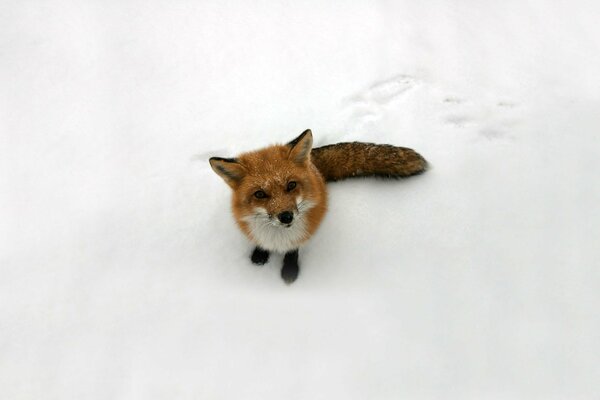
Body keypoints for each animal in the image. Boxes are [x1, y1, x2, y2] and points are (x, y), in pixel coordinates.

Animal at [211, 130, 426, 282]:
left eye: (291, 185)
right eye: (260, 194)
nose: (286, 217)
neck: (278, 238)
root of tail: (312, 163)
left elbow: (293, 251)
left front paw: (290, 272)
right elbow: (260, 243)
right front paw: (259, 256)